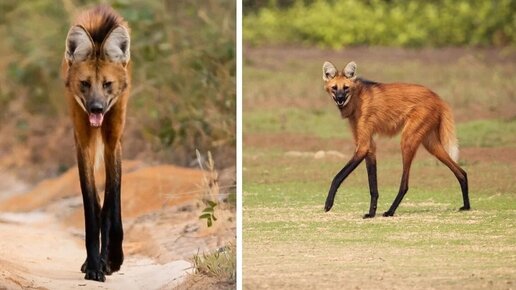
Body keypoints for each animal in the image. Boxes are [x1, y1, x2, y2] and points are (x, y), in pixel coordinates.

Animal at [62, 4, 131, 280]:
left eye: (107, 84)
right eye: (85, 84)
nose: (96, 108)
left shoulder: (114, 140)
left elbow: (111, 202)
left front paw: (111, 260)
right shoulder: (83, 141)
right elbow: (92, 206)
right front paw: (93, 265)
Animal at [322, 61, 472, 220]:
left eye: (346, 88)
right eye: (334, 88)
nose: (340, 99)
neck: (356, 99)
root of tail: (438, 97)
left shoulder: (363, 146)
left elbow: (337, 177)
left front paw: (328, 204)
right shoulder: (369, 147)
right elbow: (373, 186)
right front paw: (371, 213)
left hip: (407, 140)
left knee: (405, 184)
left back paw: (390, 211)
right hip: (430, 143)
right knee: (461, 172)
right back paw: (466, 205)